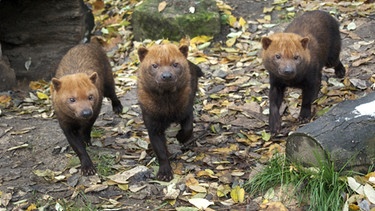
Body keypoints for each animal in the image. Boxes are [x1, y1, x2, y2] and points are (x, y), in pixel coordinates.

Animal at [50, 42, 122, 176]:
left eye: (90, 97)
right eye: (72, 99)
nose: (86, 112)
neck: (77, 120)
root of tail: (88, 43)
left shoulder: (95, 111)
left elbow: (87, 129)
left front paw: (86, 140)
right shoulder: (65, 124)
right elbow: (78, 147)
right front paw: (87, 167)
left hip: (108, 80)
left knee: (113, 93)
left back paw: (118, 107)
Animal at [137, 43, 204, 181]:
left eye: (175, 64)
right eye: (154, 65)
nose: (166, 76)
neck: (167, 108)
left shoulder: (186, 109)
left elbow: (188, 128)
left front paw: (181, 137)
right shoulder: (153, 124)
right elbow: (160, 151)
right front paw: (164, 173)